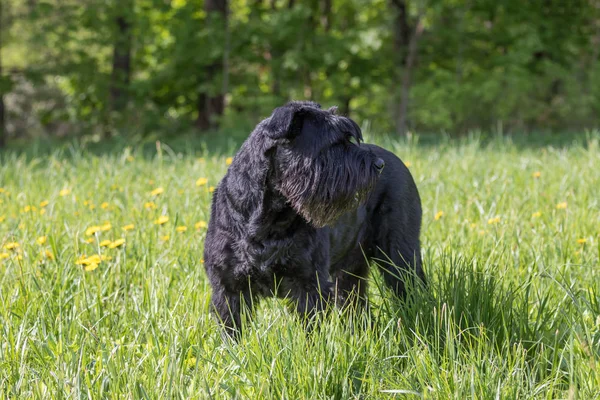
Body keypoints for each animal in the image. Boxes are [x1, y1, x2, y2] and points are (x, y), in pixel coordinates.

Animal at [204, 101, 424, 338]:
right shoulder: (229, 288)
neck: (269, 218)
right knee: (355, 302)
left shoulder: (309, 283)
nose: (379, 164)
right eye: (333, 143)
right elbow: (232, 332)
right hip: (351, 269)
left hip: (400, 255)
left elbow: (311, 329)